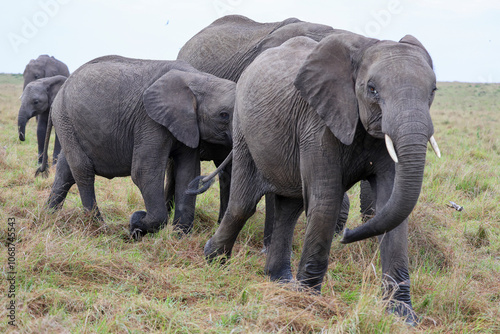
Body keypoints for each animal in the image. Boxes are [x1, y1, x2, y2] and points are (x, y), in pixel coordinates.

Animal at [37, 55, 236, 237]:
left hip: (69, 124)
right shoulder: (149, 120)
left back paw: (49, 216)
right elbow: (144, 171)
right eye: (224, 115)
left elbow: (187, 173)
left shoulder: (187, 125)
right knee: (82, 170)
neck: (198, 78)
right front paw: (136, 224)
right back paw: (98, 228)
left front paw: (180, 237)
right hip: (65, 118)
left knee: (66, 170)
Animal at [203, 32, 442, 324]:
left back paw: (280, 281)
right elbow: (326, 200)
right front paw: (308, 304)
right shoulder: (316, 122)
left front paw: (403, 316)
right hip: (243, 129)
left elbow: (391, 205)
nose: (347, 234)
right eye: (372, 89)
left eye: (433, 91)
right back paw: (213, 259)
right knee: (243, 203)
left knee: (289, 208)